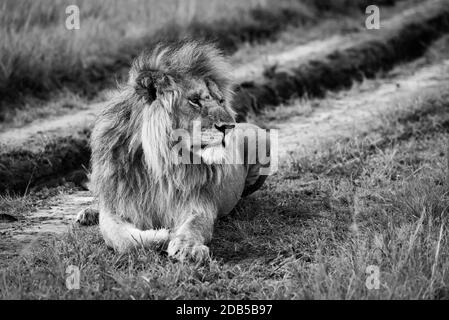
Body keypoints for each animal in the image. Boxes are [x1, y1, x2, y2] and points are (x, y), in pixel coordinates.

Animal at [76, 40, 270, 262]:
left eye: (221, 101)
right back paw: (89, 213)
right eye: (194, 100)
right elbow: (123, 240)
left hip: (262, 140)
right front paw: (161, 235)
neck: (160, 163)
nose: (230, 126)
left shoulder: (198, 203)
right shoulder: (116, 205)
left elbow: (194, 226)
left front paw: (187, 247)